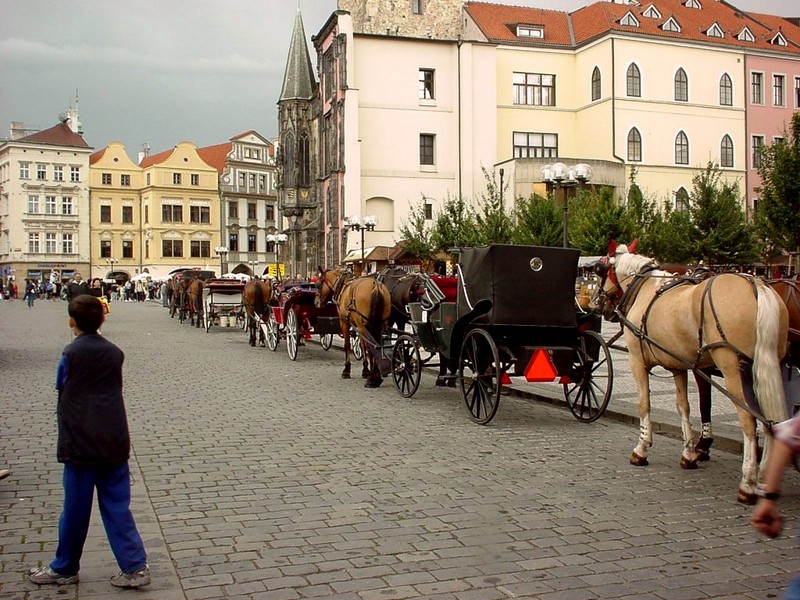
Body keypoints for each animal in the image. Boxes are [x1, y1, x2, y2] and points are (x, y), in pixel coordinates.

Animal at [592, 244, 788, 502]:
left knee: (749, 420)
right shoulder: (678, 366)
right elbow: (683, 407)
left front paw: (641, 449)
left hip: (733, 369)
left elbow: (644, 404)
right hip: (766, 367)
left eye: (600, 270)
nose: (596, 303)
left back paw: (747, 482)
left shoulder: (636, 361)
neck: (646, 289)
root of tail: (756, 284)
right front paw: (688, 452)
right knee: (770, 419)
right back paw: (765, 479)